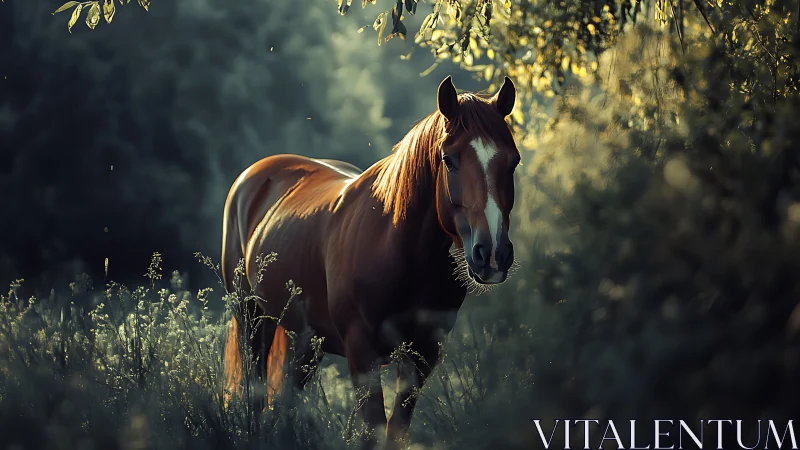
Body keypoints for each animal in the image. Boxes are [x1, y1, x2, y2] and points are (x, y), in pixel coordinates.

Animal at [221, 75, 520, 448]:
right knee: (258, 395)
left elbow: (395, 431)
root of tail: (254, 176)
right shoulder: (361, 353)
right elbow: (372, 430)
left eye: (513, 162)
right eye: (449, 159)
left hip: (304, 340)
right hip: (252, 318)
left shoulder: (422, 356)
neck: (395, 251)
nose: (491, 253)